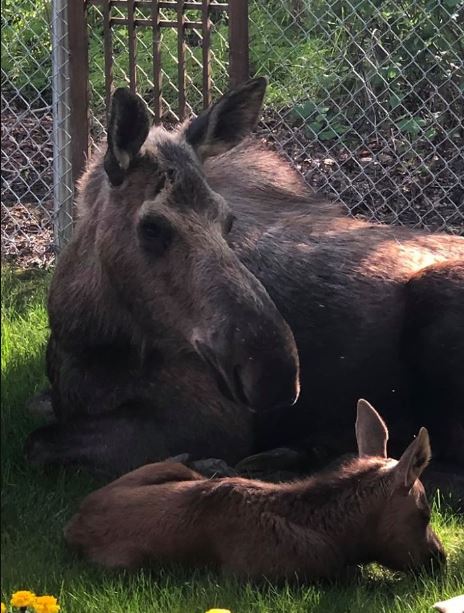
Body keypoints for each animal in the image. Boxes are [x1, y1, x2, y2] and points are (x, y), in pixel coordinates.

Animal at [26, 79, 464, 476]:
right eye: (151, 227)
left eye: (228, 220)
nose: (275, 371)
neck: (87, 332)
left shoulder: (213, 420)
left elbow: (41, 442)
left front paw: (206, 464)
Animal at [63, 400, 444, 580]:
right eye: (424, 513)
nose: (439, 557)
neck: (342, 536)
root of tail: (75, 522)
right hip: (126, 564)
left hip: (171, 470)